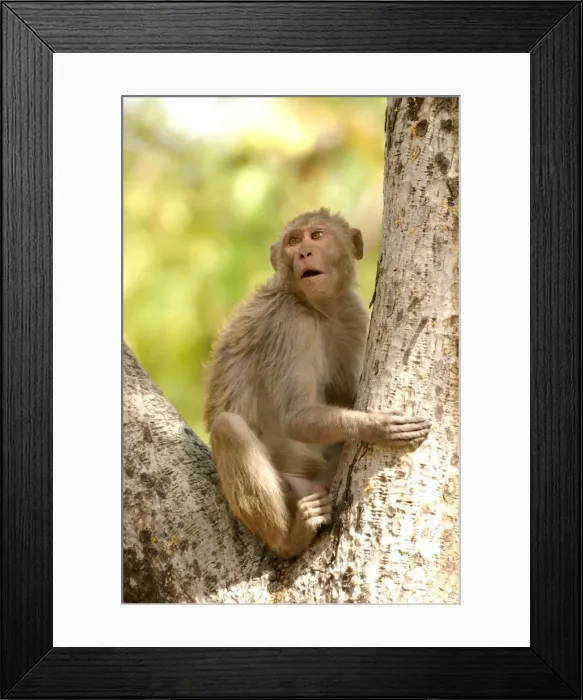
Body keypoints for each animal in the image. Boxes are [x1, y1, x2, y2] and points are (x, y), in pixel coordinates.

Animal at [204, 208, 431, 558]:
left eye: (317, 236)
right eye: (293, 241)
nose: (303, 253)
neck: (317, 309)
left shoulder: (350, 315)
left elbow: (345, 394)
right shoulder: (292, 326)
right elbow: (295, 416)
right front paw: (376, 426)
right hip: (293, 490)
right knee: (228, 427)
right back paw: (290, 539)